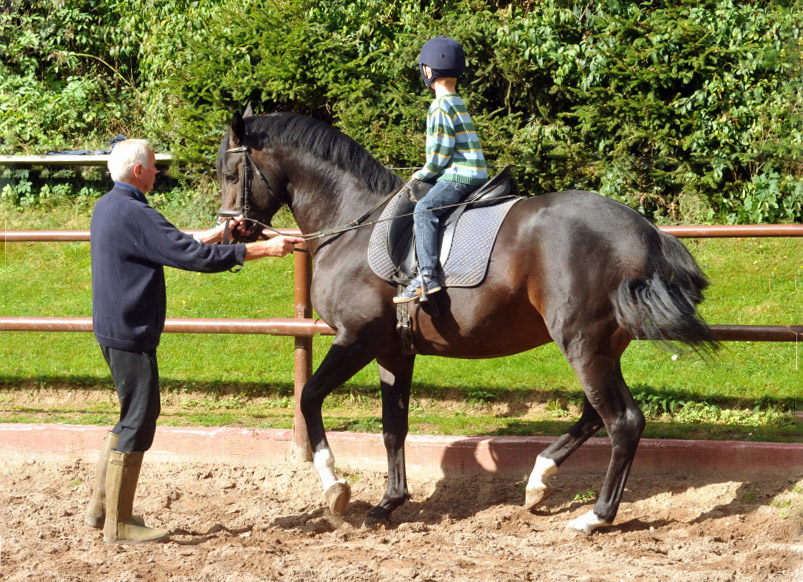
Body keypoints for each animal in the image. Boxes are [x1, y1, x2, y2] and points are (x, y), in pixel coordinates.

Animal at [217, 109, 720, 532]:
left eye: (230, 173)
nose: (228, 231)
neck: (354, 227)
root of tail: (643, 228)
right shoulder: (393, 351)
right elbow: (393, 426)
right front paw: (388, 504)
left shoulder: (356, 340)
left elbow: (310, 398)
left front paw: (336, 489)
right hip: (601, 347)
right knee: (597, 415)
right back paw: (539, 480)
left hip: (581, 344)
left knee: (623, 422)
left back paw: (595, 516)